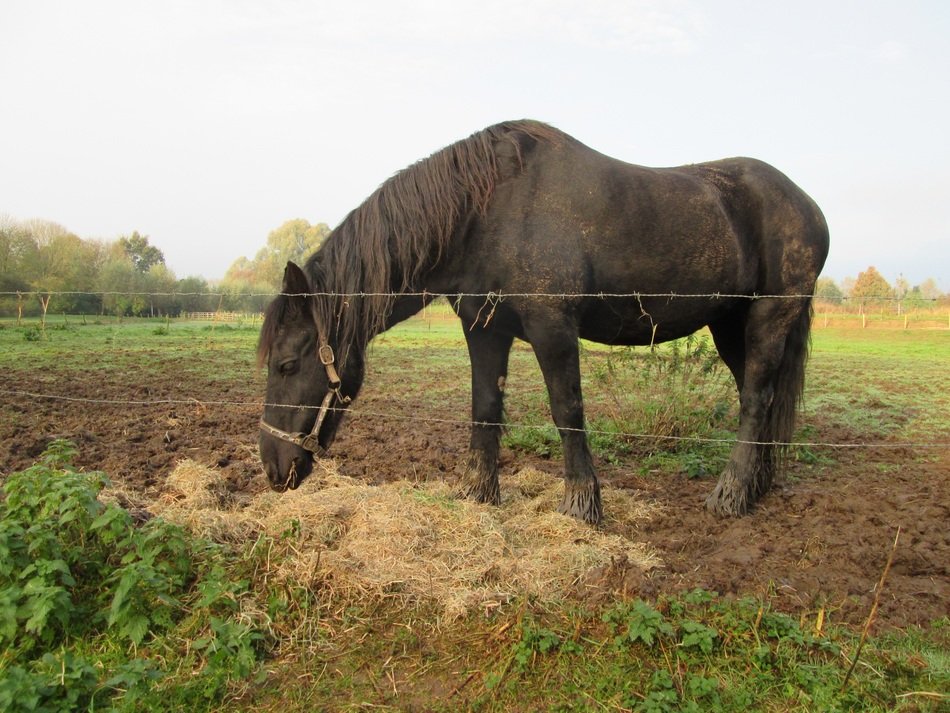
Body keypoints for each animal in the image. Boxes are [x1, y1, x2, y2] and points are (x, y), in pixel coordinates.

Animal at [257, 120, 829, 524]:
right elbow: (485, 408)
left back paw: (731, 495)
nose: (272, 470)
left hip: (769, 317)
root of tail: (808, 206)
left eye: (286, 364)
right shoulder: (483, 328)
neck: (487, 209)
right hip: (730, 327)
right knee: (760, 398)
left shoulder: (553, 328)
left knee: (755, 401)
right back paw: (756, 486)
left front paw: (581, 504)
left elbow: (566, 410)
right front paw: (479, 494)